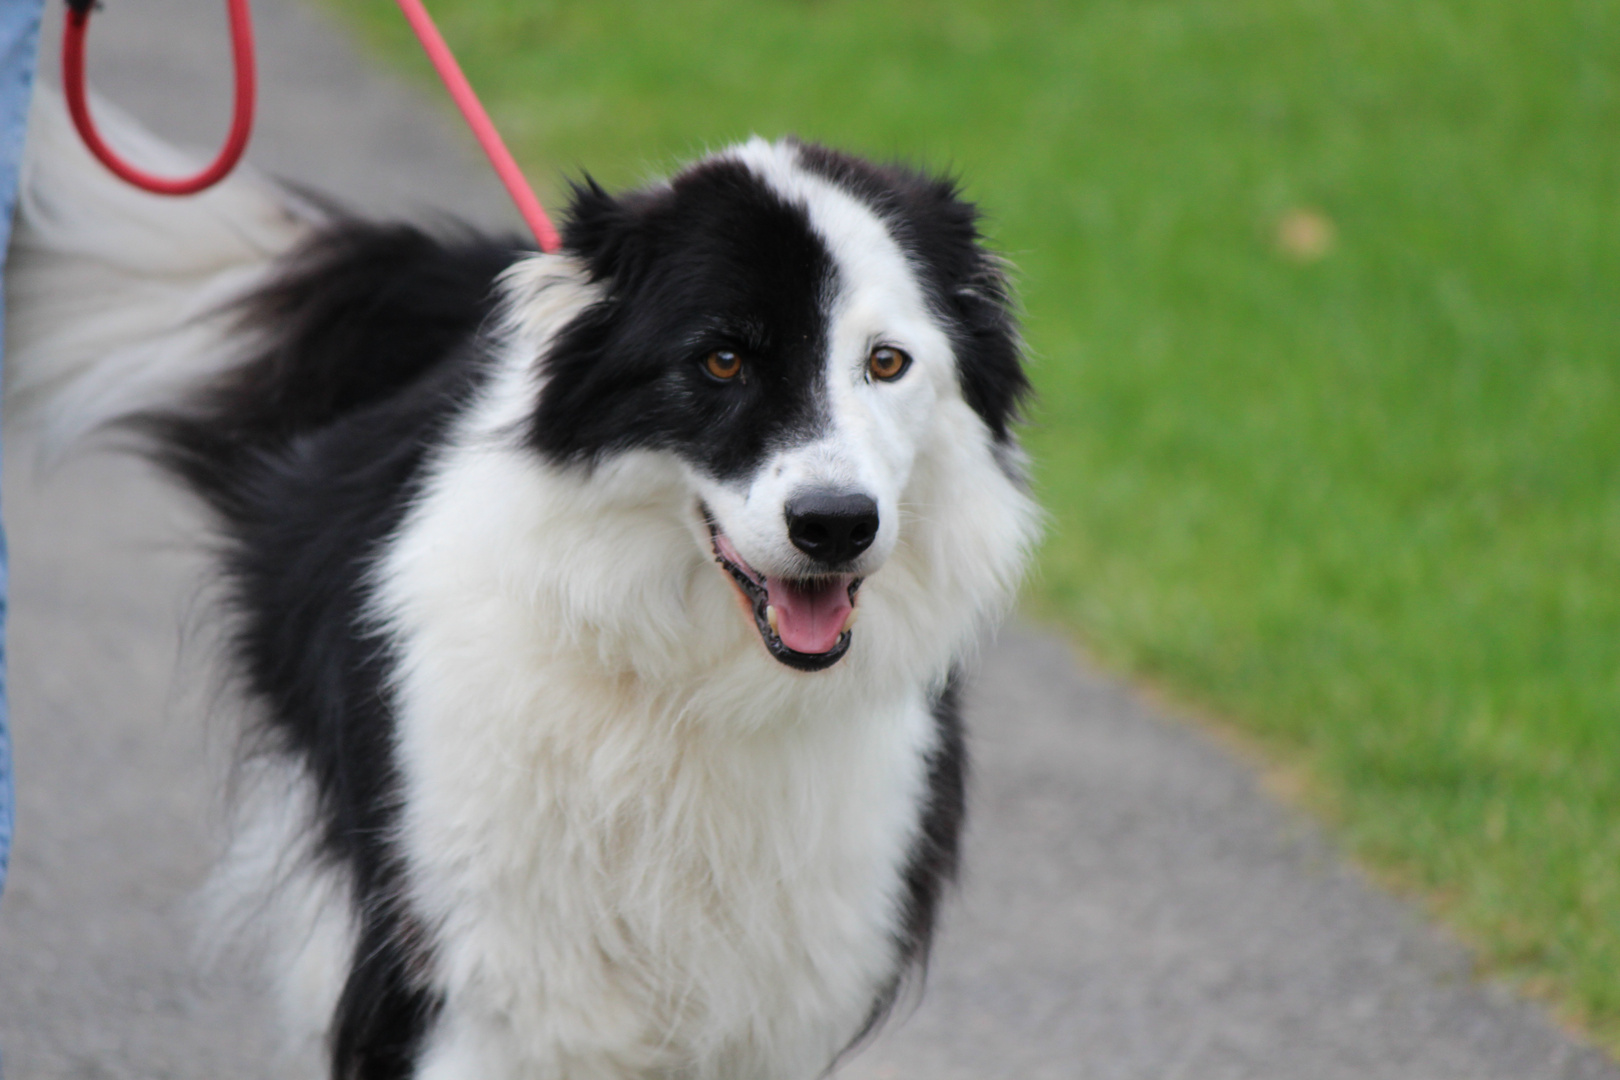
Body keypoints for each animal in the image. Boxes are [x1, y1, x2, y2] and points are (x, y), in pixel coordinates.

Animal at [9, 95, 1036, 1080]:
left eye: (886, 362)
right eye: (722, 360)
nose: (836, 524)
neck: (686, 694)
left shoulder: (779, 989)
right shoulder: (495, 982)